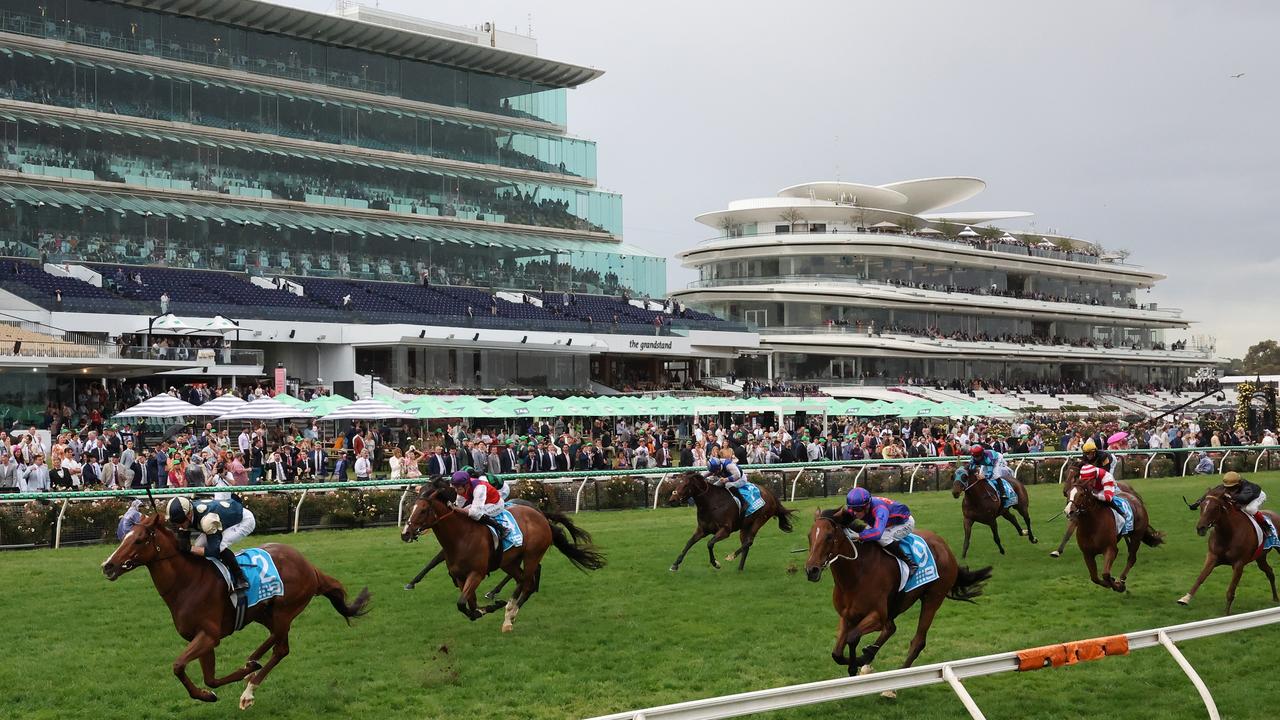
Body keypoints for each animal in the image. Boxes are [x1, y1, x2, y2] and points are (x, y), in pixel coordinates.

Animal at [101, 509, 371, 707]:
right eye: (124, 537)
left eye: (138, 540)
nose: (108, 566)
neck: (187, 582)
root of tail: (309, 566)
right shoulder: (203, 638)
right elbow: (210, 679)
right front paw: (212, 691)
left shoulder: (208, 635)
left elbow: (178, 666)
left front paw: (213, 692)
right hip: (264, 612)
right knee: (277, 640)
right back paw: (251, 663)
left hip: (284, 610)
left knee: (280, 646)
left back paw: (249, 689)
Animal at [399, 481, 604, 627]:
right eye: (411, 508)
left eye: (423, 510)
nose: (405, 533)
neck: (461, 536)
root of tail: (540, 515)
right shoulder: (460, 577)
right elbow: (468, 605)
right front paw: (485, 609)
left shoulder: (477, 574)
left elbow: (462, 603)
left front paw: (490, 607)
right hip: (510, 561)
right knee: (524, 580)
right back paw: (506, 605)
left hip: (531, 555)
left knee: (528, 582)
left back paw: (509, 614)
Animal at [665, 474, 793, 568]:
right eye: (676, 483)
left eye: (686, 485)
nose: (672, 500)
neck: (711, 502)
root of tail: (770, 494)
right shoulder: (702, 530)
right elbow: (689, 543)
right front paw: (675, 564)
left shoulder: (725, 530)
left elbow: (709, 543)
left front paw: (715, 563)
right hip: (745, 526)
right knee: (746, 544)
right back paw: (740, 568)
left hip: (760, 520)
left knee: (749, 541)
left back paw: (731, 556)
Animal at [803, 507, 993, 681]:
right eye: (809, 536)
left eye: (828, 536)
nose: (811, 570)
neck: (856, 575)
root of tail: (945, 547)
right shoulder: (847, 616)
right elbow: (837, 653)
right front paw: (857, 662)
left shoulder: (877, 616)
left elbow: (852, 637)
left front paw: (860, 660)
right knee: (891, 628)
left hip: (933, 598)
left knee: (917, 641)